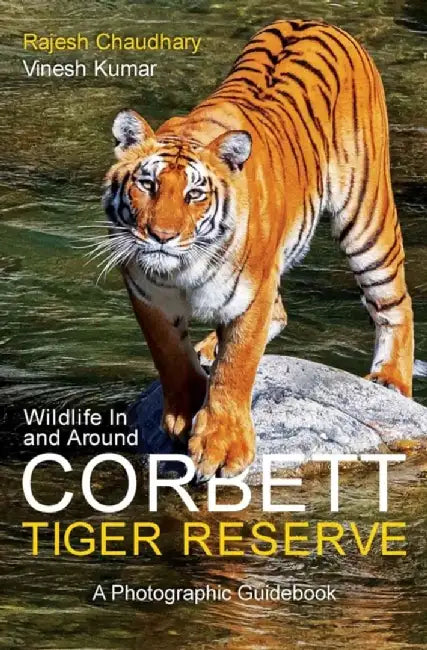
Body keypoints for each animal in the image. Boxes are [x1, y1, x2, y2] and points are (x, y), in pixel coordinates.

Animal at [103, 19, 414, 482]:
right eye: (147, 184)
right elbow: (169, 355)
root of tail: (316, 21)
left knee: (394, 300)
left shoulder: (253, 293)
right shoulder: (147, 294)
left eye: (195, 194)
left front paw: (221, 446)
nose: (161, 236)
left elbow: (237, 366)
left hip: (366, 215)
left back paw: (391, 379)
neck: (183, 271)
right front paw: (183, 413)